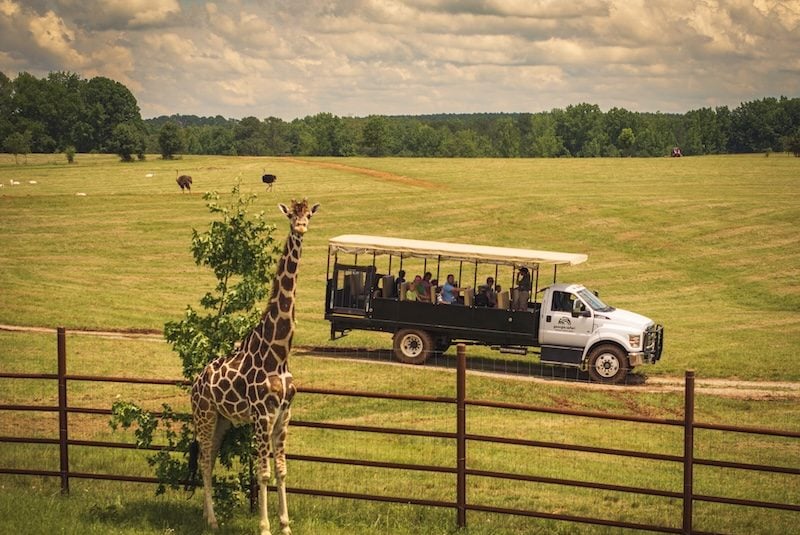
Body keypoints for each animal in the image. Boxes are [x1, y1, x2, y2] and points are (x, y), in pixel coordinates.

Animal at [189, 198, 320, 535]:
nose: (301, 227)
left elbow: (283, 470)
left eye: (308, 214)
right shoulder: (262, 416)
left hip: (223, 420)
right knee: (204, 460)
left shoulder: (284, 415)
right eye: (291, 215)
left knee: (209, 459)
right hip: (205, 414)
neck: (278, 352)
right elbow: (263, 473)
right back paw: (212, 520)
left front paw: (285, 526)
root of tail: (195, 383)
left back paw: (206, 516)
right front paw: (264, 527)